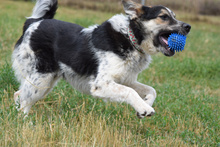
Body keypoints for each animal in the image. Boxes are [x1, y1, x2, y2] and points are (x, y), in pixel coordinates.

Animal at [12, 0, 191, 118]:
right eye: (164, 16)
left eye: (174, 16)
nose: (188, 26)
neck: (130, 38)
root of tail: (33, 22)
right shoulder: (101, 84)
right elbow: (130, 92)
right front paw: (144, 108)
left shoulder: (125, 79)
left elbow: (151, 90)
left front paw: (145, 104)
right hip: (42, 78)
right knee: (22, 98)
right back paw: (25, 123)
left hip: (45, 82)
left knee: (19, 95)